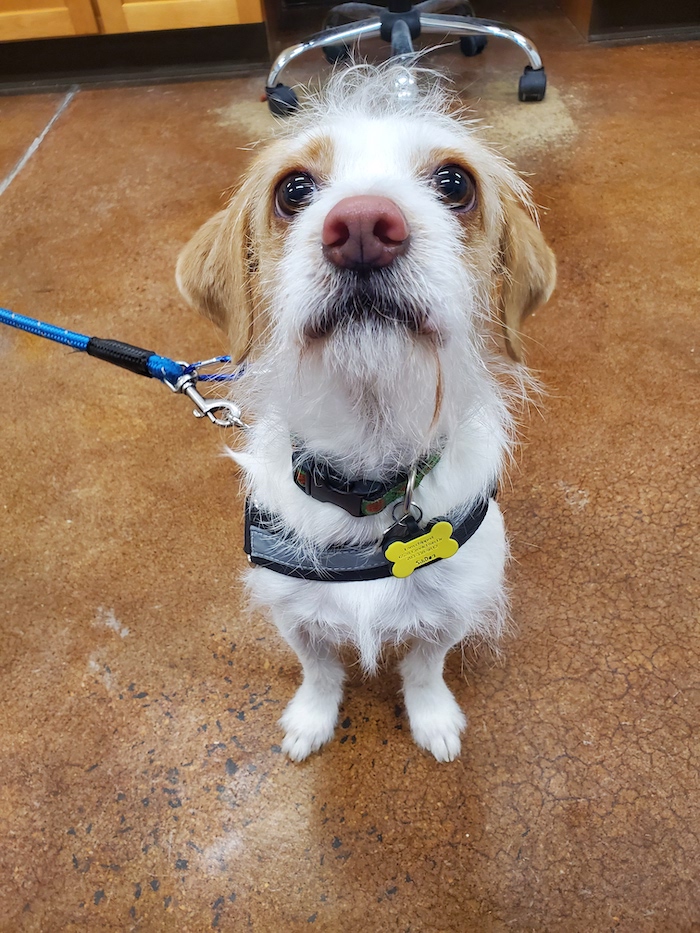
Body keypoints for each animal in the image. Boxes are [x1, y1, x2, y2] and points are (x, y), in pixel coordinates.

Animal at [176, 63, 556, 756]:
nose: (360, 226)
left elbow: (425, 666)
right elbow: (320, 668)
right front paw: (311, 721)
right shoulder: (294, 612)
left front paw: (433, 720)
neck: (368, 468)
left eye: (455, 183)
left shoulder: (449, 611)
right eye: (294, 189)